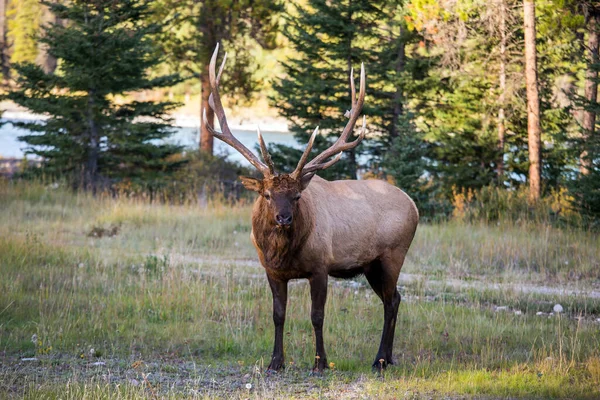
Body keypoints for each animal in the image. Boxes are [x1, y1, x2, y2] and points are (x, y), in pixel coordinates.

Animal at [204, 44, 420, 372]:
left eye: (296, 196)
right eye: (267, 194)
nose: (283, 218)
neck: (283, 253)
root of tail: (413, 204)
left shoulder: (321, 266)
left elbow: (317, 316)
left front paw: (320, 362)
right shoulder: (271, 271)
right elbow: (278, 315)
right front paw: (275, 362)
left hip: (393, 254)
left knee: (392, 300)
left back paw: (380, 358)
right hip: (371, 265)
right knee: (392, 298)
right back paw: (388, 357)